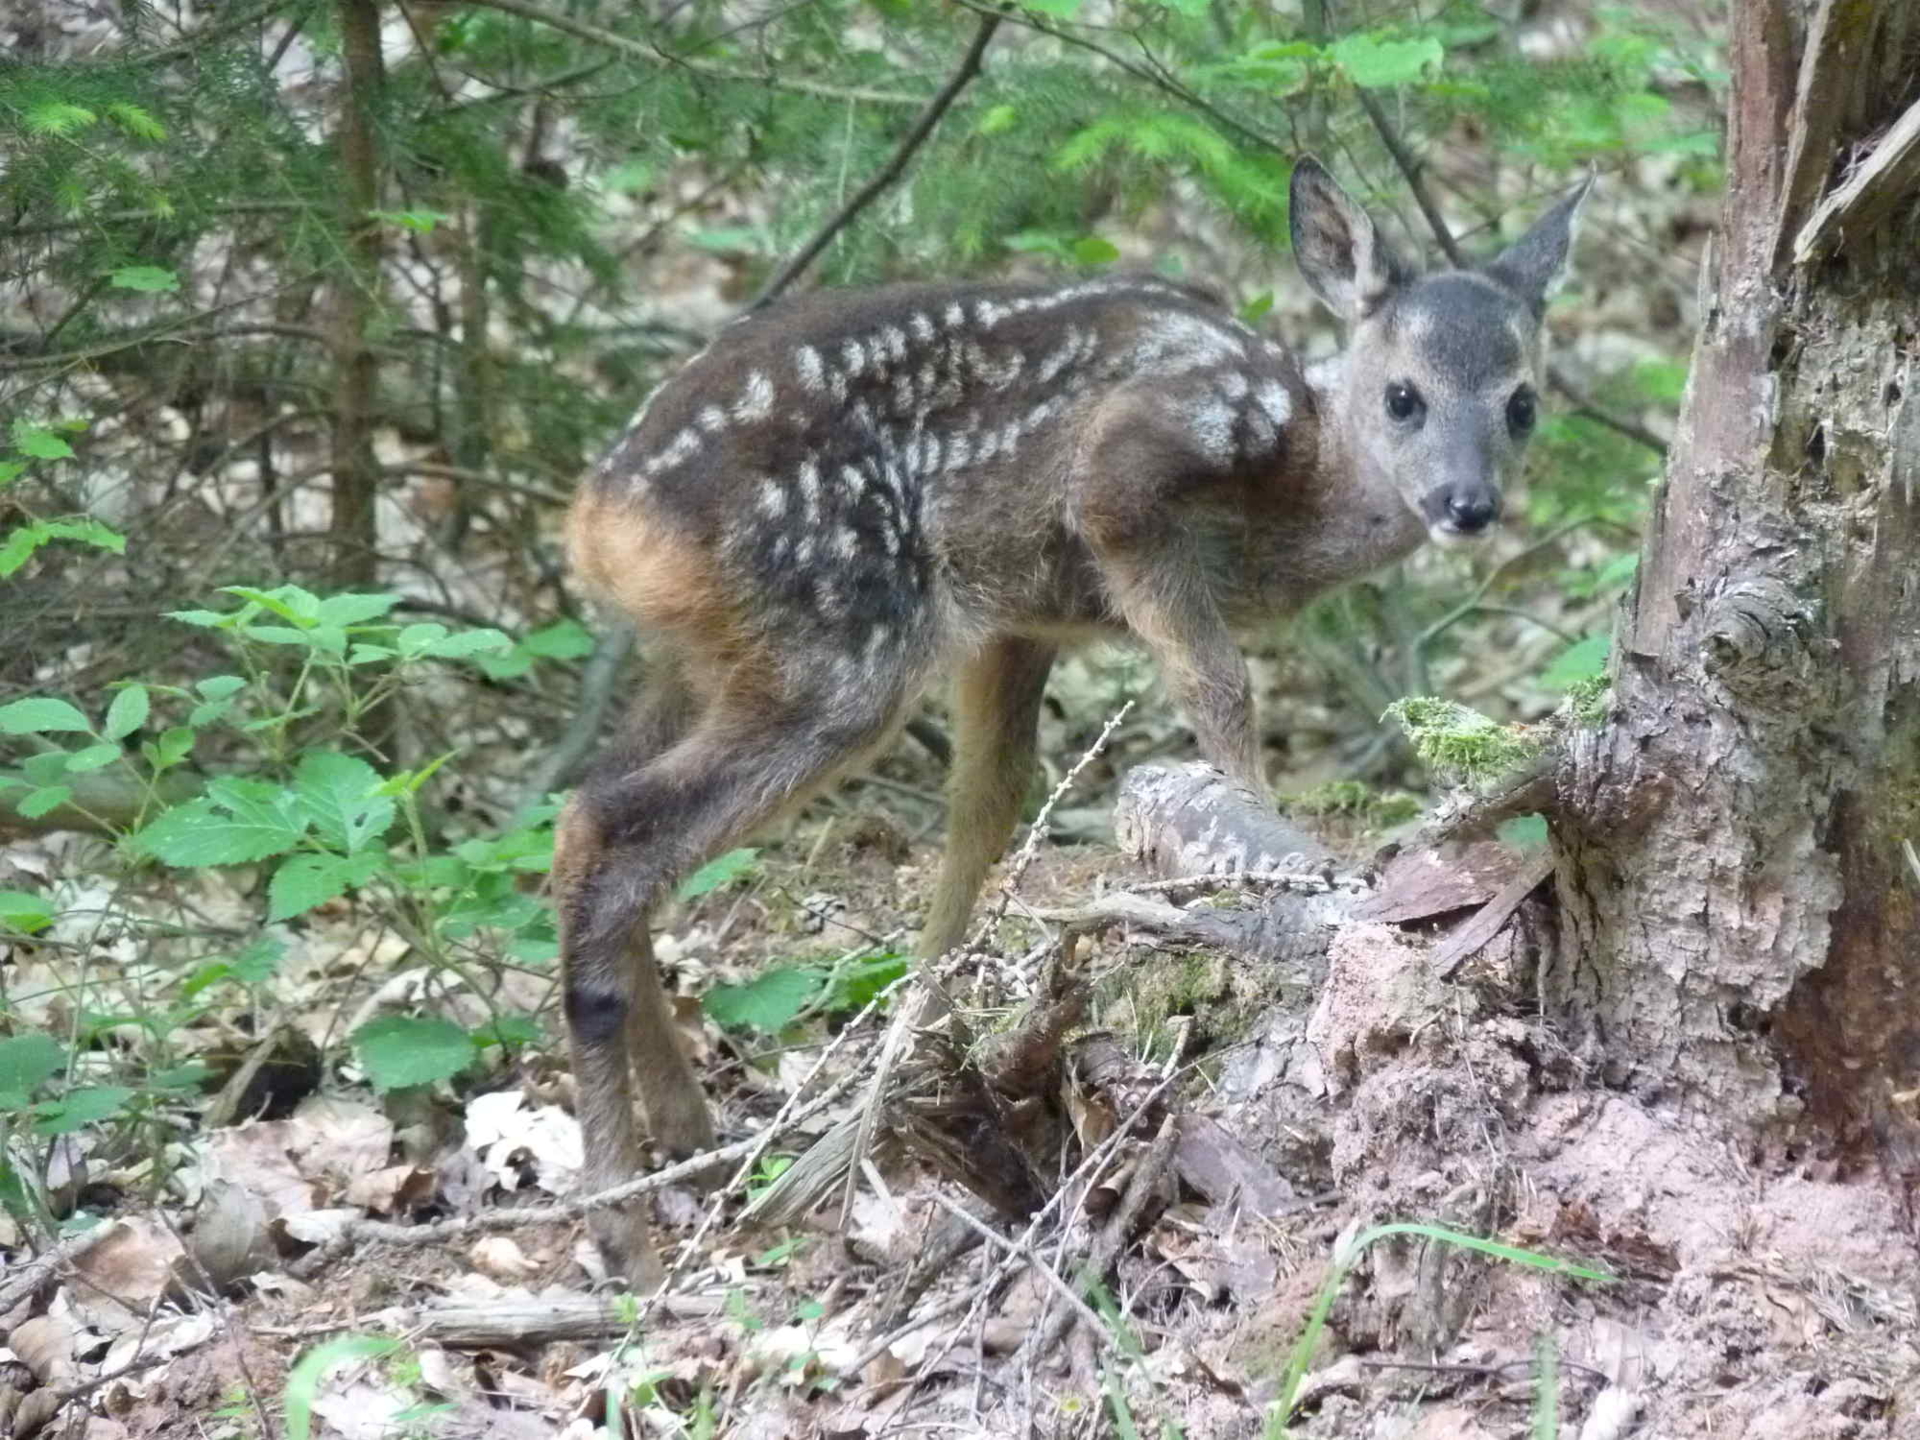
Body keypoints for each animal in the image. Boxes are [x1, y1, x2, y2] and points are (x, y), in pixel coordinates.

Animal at [552, 157, 1590, 1285]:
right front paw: (1258, 850)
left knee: (604, 823)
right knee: (607, 824)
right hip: (836, 649)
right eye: (1404, 397)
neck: (1296, 491)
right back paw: (621, 1226)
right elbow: (1218, 683)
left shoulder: (1014, 620)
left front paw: (920, 1040)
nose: (1466, 503)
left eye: (1524, 403)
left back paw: (688, 1144)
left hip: (703, 660)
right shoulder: (1128, 470)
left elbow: (989, 805)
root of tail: (603, 517)